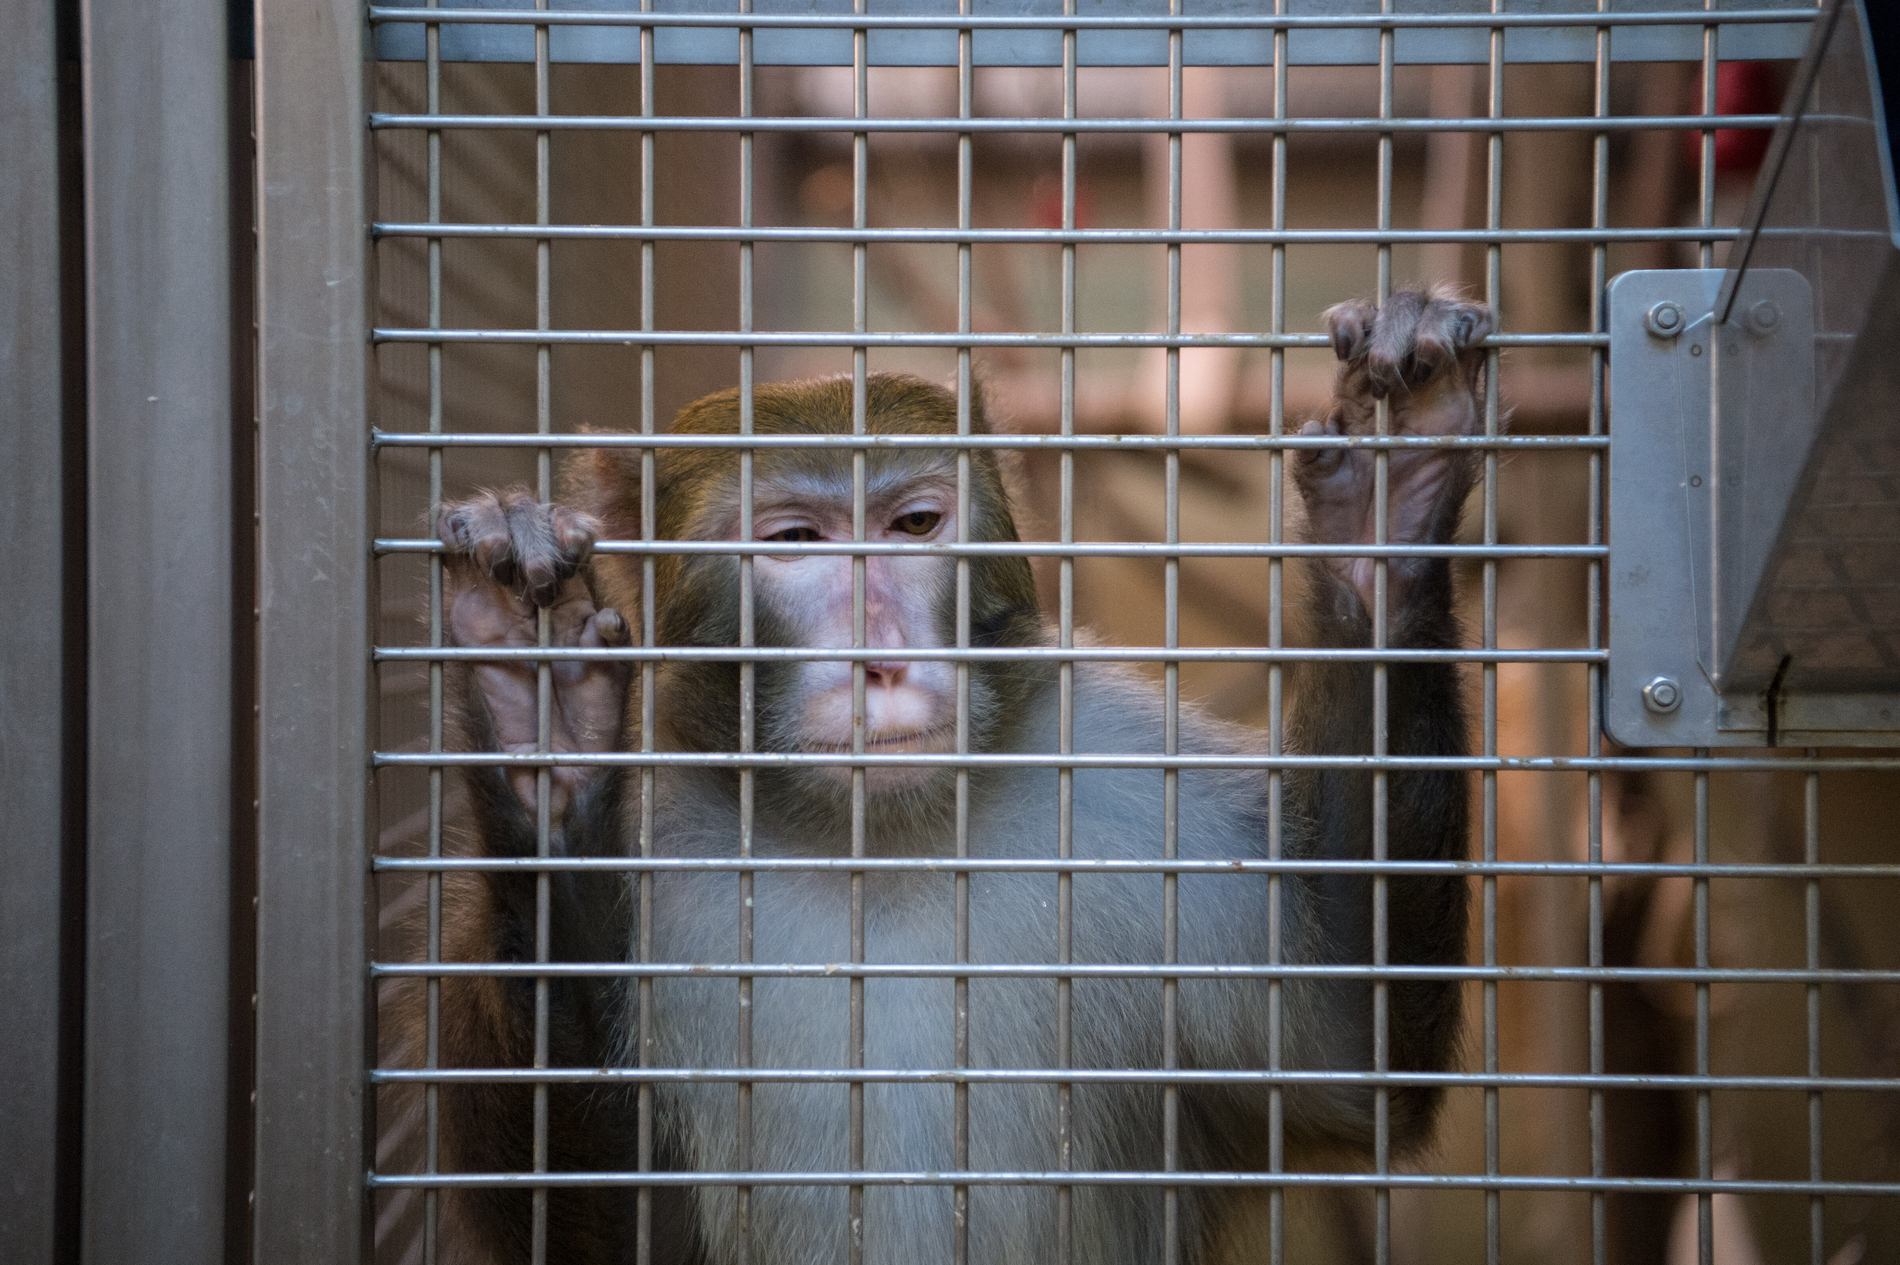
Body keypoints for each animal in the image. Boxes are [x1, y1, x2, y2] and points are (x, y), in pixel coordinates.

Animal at [391, 287, 1490, 1264]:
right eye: (795, 540)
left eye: (914, 523)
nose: (879, 658)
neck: (879, 839)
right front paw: (541, 718)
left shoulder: (1137, 793)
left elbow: (1348, 1043)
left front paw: (1387, 509)